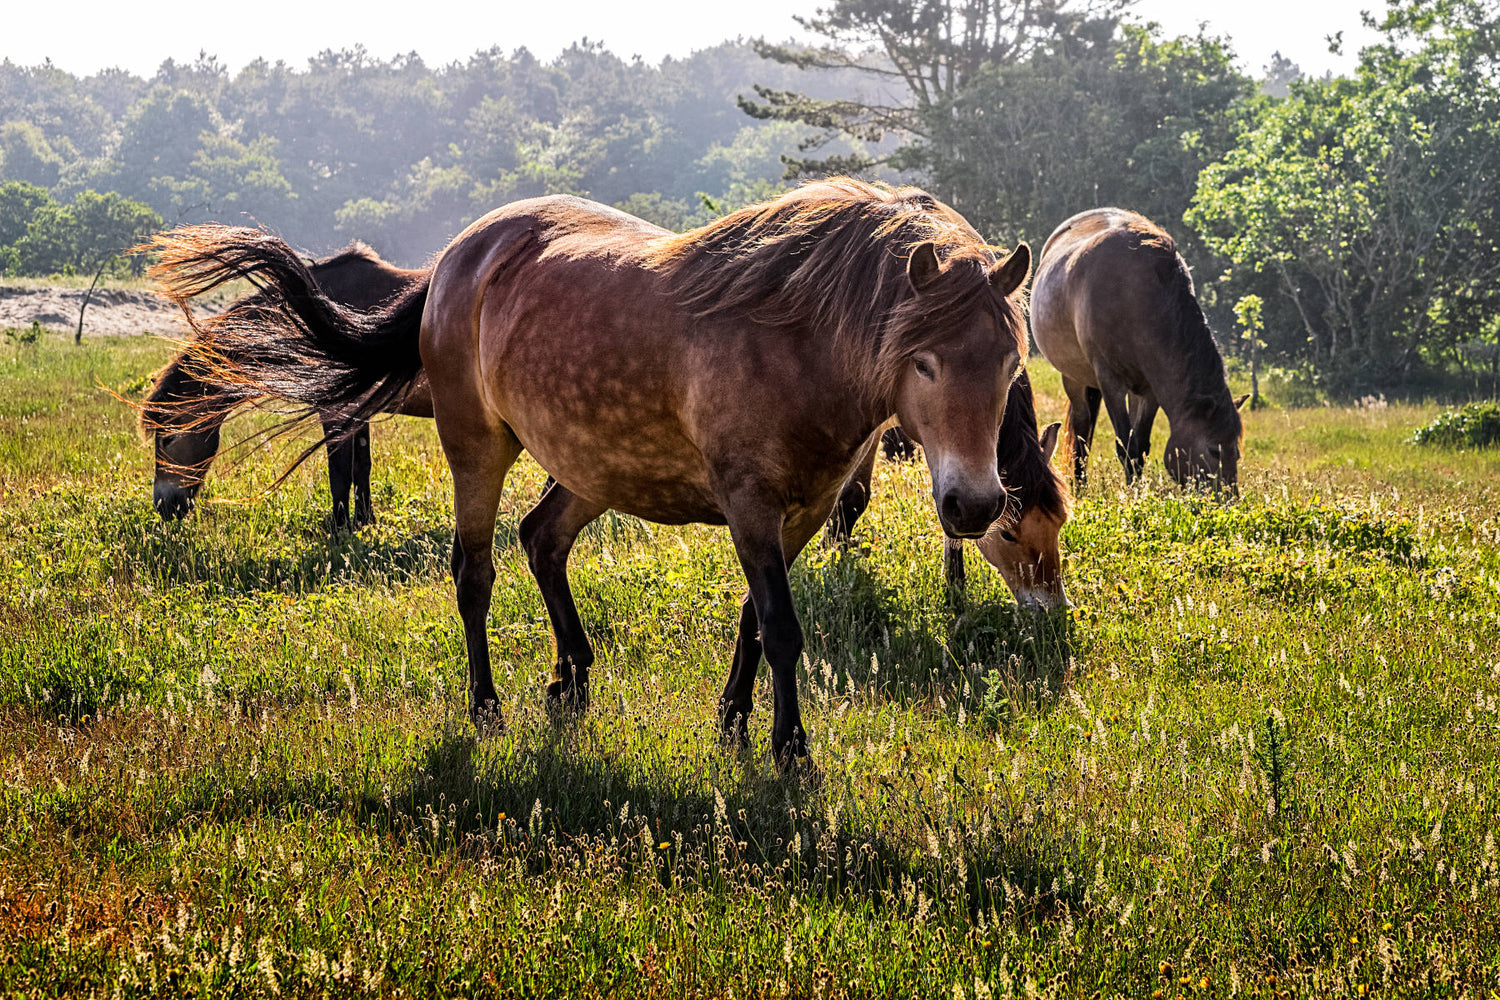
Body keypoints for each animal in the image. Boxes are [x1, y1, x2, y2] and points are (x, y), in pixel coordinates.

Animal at [143, 242, 435, 524]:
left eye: (167, 439)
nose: (163, 505)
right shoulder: (359, 411)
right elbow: (361, 467)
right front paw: (365, 521)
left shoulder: (336, 411)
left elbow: (339, 471)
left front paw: (340, 527)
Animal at [828, 371, 1074, 614]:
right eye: (1007, 534)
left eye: (1059, 523)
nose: (1054, 606)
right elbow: (853, 497)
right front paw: (834, 558)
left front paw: (955, 586)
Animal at [1032, 209, 1242, 491]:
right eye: (1214, 451)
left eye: (1236, 454)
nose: (1229, 498)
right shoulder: (1110, 382)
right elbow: (1124, 446)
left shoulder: (1151, 390)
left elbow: (1139, 446)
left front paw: (1137, 491)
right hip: (1074, 378)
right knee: (1082, 430)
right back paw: (1080, 484)